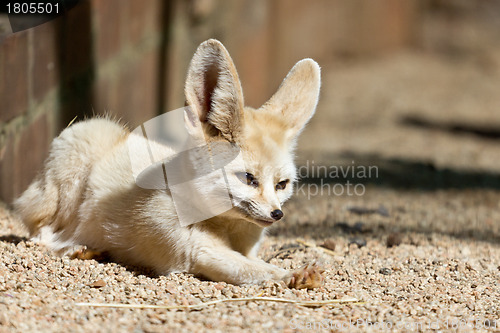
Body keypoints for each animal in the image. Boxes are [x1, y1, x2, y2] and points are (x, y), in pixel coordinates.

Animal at [15, 39, 324, 288]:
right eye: (248, 178)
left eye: (282, 184)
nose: (277, 214)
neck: (228, 229)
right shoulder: (196, 252)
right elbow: (257, 270)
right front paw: (293, 274)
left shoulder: (241, 249)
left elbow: (257, 264)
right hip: (74, 170)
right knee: (41, 233)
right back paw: (76, 247)